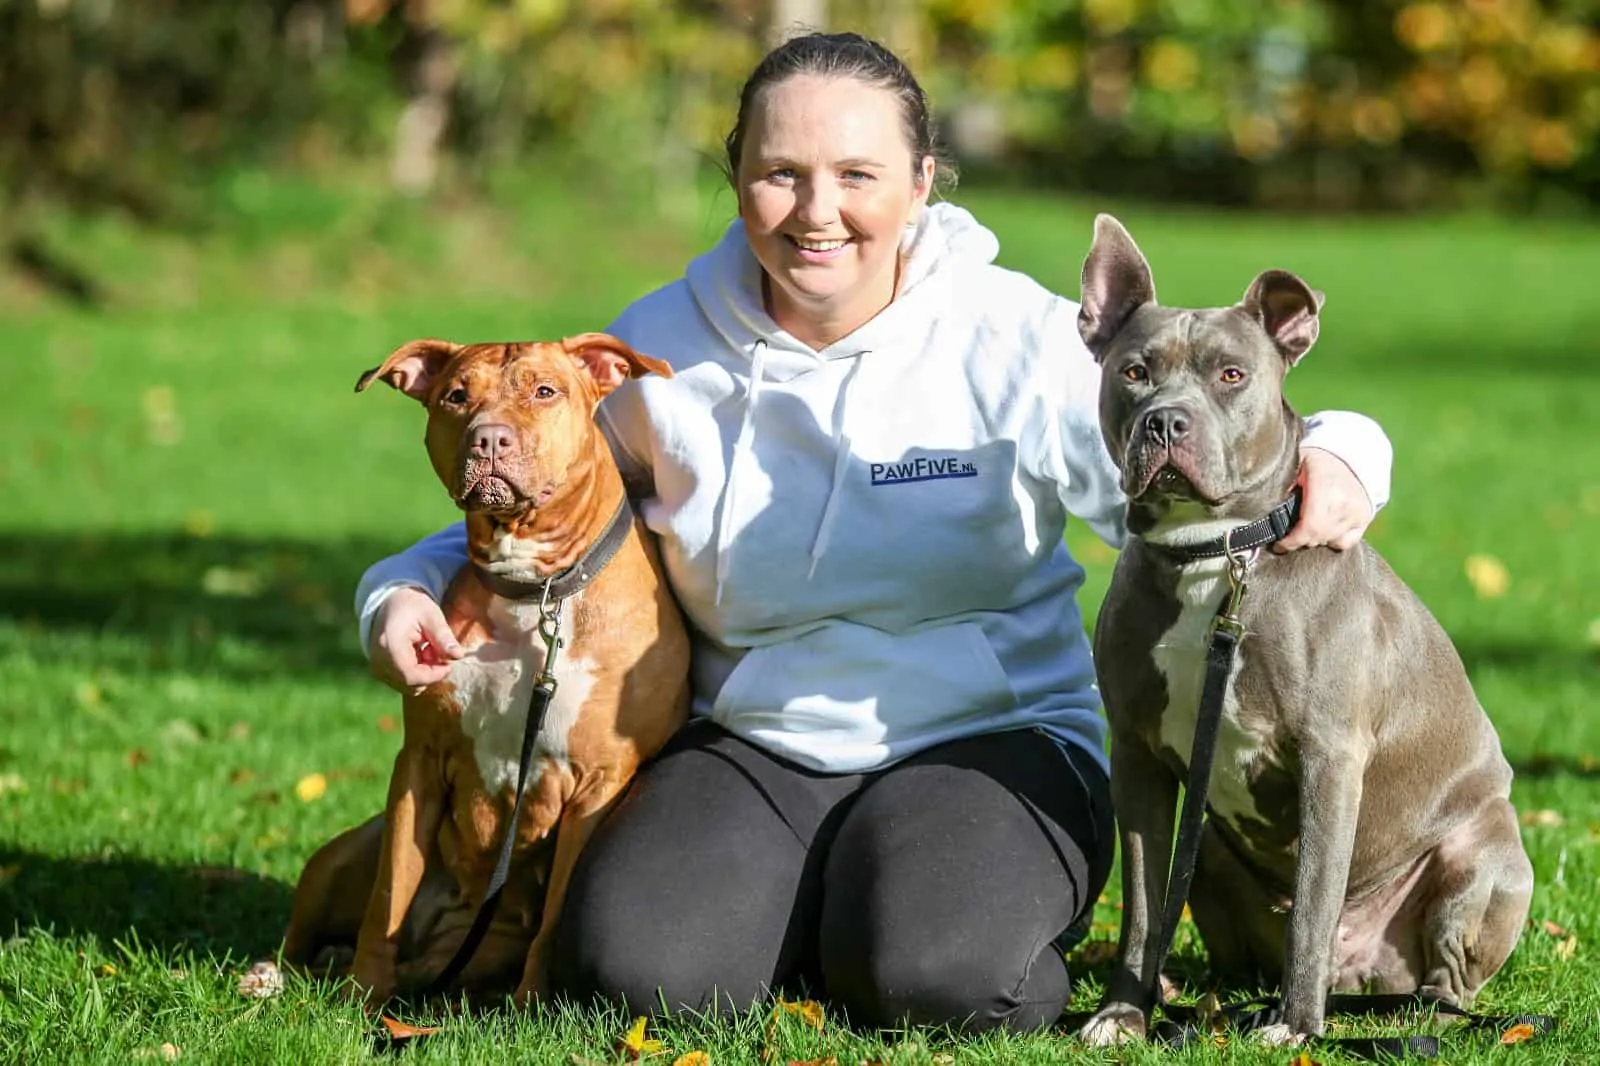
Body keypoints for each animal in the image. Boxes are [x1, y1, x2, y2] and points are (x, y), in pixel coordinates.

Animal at [281, 334, 688, 1005]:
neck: (534, 589)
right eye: (455, 396)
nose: (488, 438)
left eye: (545, 391)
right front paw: (365, 993)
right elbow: (389, 896)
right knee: (313, 930)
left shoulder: (597, 785)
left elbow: (554, 919)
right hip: (340, 857)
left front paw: (531, 1007)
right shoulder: (419, 763)